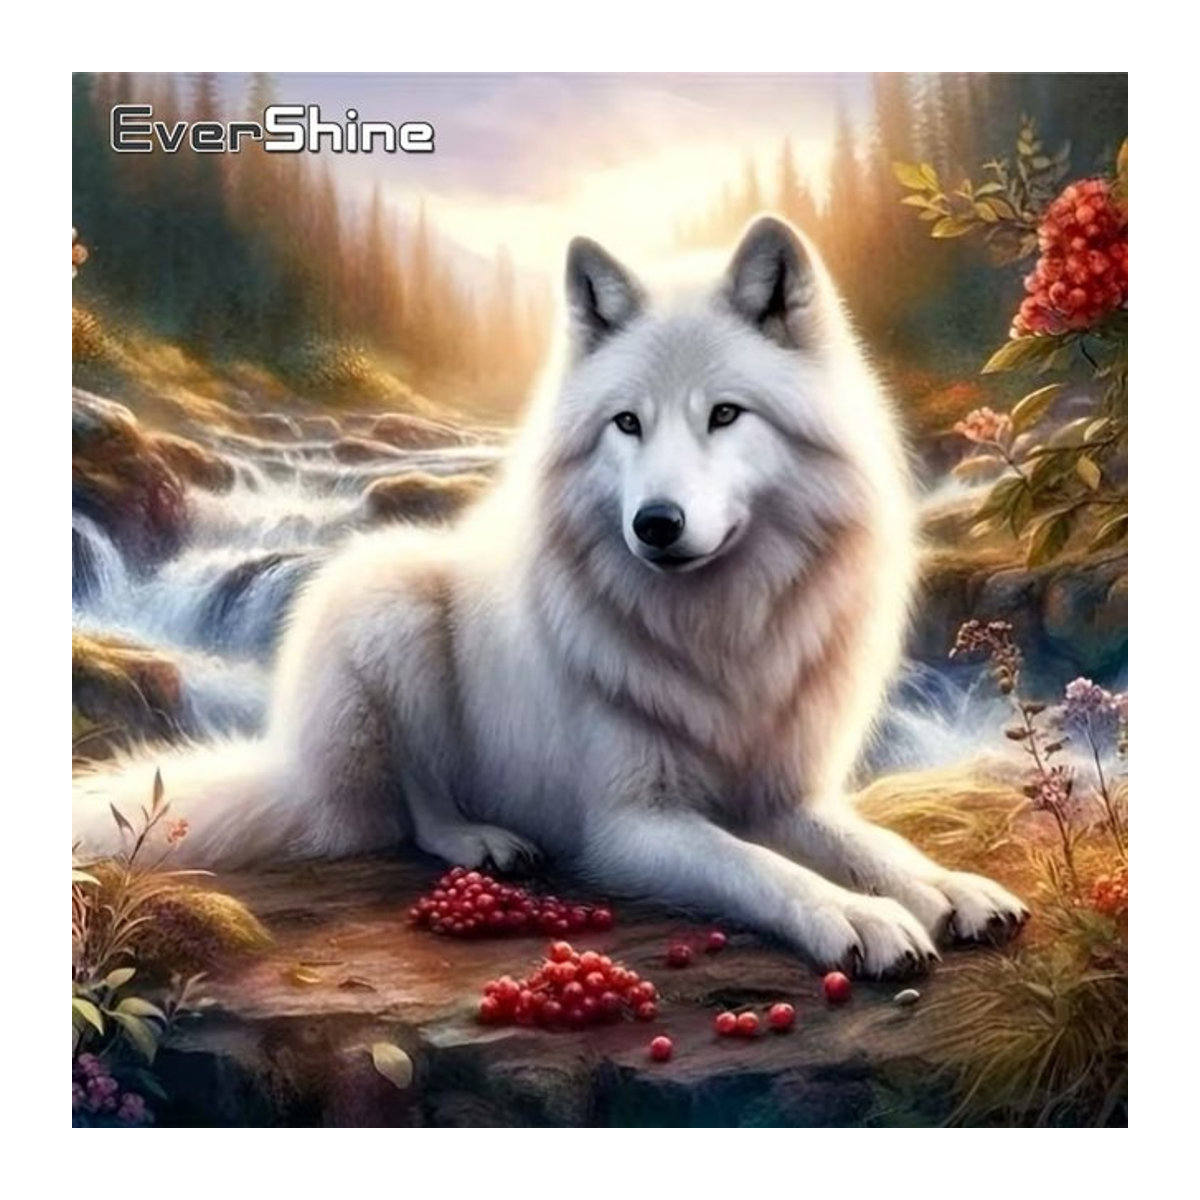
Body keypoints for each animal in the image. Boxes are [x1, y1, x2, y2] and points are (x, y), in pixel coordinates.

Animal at [74, 216, 1027, 977]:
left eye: (724, 415)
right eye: (627, 424)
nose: (656, 524)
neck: (720, 632)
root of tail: (297, 770)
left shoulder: (786, 799)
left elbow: (876, 845)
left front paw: (953, 890)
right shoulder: (632, 825)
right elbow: (764, 869)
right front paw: (858, 919)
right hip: (388, 594)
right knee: (415, 804)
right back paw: (482, 840)